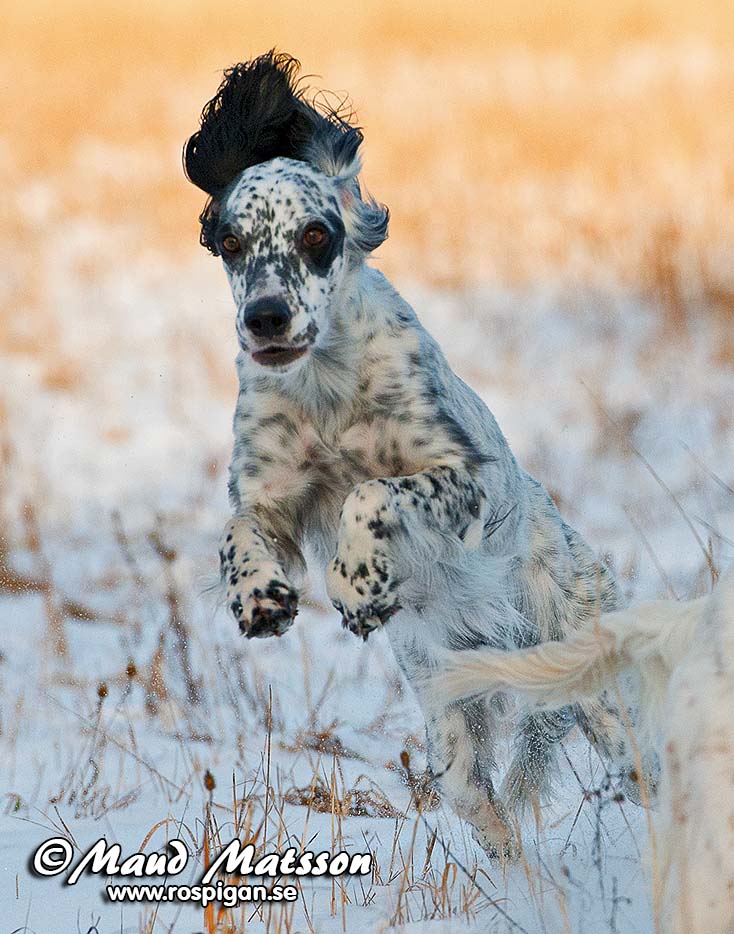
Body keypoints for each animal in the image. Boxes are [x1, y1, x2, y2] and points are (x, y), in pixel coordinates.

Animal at [184, 50, 653, 859]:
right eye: (232, 241)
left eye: (316, 236)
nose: (266, 317)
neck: (328, 389)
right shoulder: (271, 498)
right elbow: (240, 531)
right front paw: (260, 597)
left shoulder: (462, 475)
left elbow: (372, 492)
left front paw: (357, 585)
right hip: (451, 737)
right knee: (488, 814)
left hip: (600, 695)